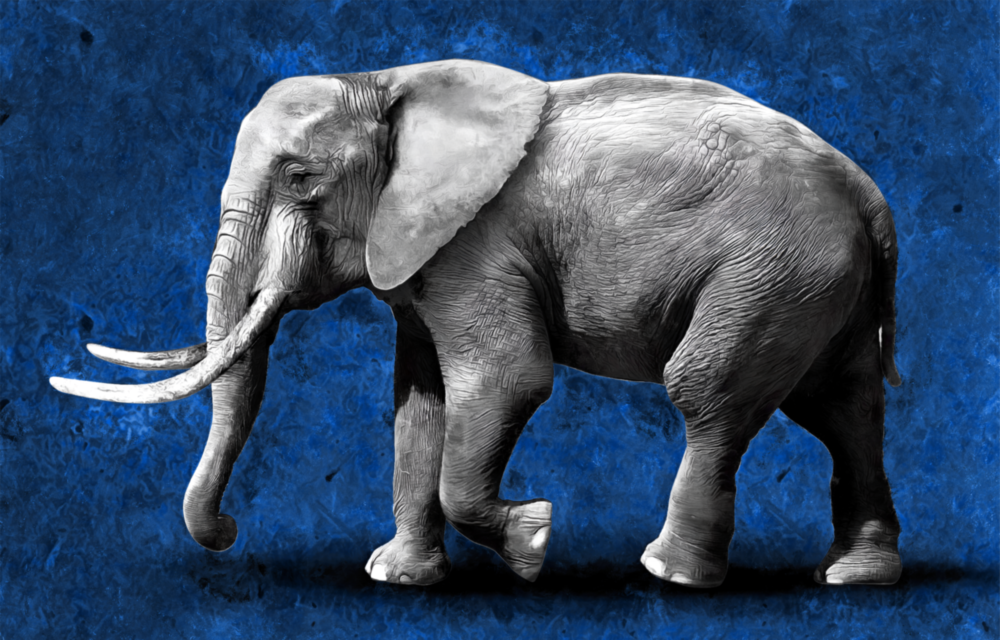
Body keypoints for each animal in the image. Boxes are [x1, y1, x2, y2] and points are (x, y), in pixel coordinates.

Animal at [51, 59, 903, 589]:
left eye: (300, 178)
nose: (228, 530)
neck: (386, 83)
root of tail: (868, 195)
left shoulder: (479, 245)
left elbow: (506, 381)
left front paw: (533, 542)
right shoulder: (422, 258)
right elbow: (418, 405)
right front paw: (397, 577)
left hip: (771, 271)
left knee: (709, 394)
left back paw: (670, 573)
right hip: (818, 286)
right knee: (844, 409)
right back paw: (854, 577)